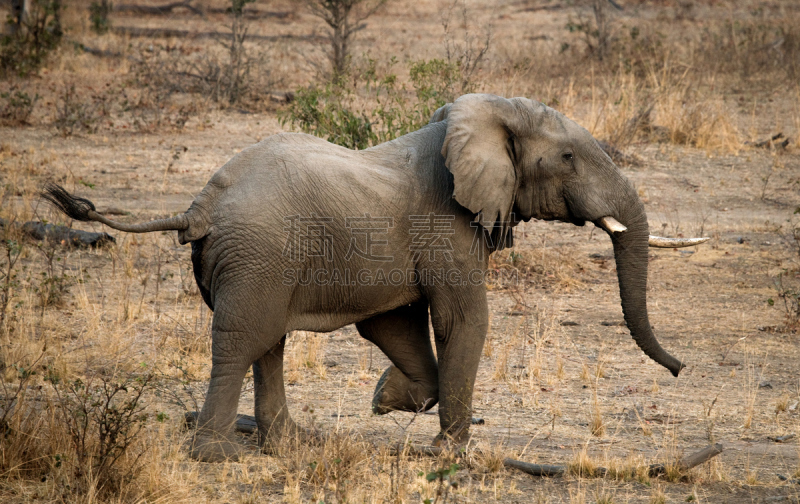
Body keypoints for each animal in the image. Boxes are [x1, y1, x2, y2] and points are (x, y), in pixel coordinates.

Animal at [43, 92, 708, 462]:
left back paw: (288, 445)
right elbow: (462, 318)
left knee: (267, 340)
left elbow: (394, 323)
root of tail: (199, 205)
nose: (681, 370)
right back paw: (217, 455)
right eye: (568, 157)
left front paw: (386, 401)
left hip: (257, 262)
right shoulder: (447, 225)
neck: (475, 120)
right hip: (258, 254)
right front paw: (449, 452)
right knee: (240, 341)